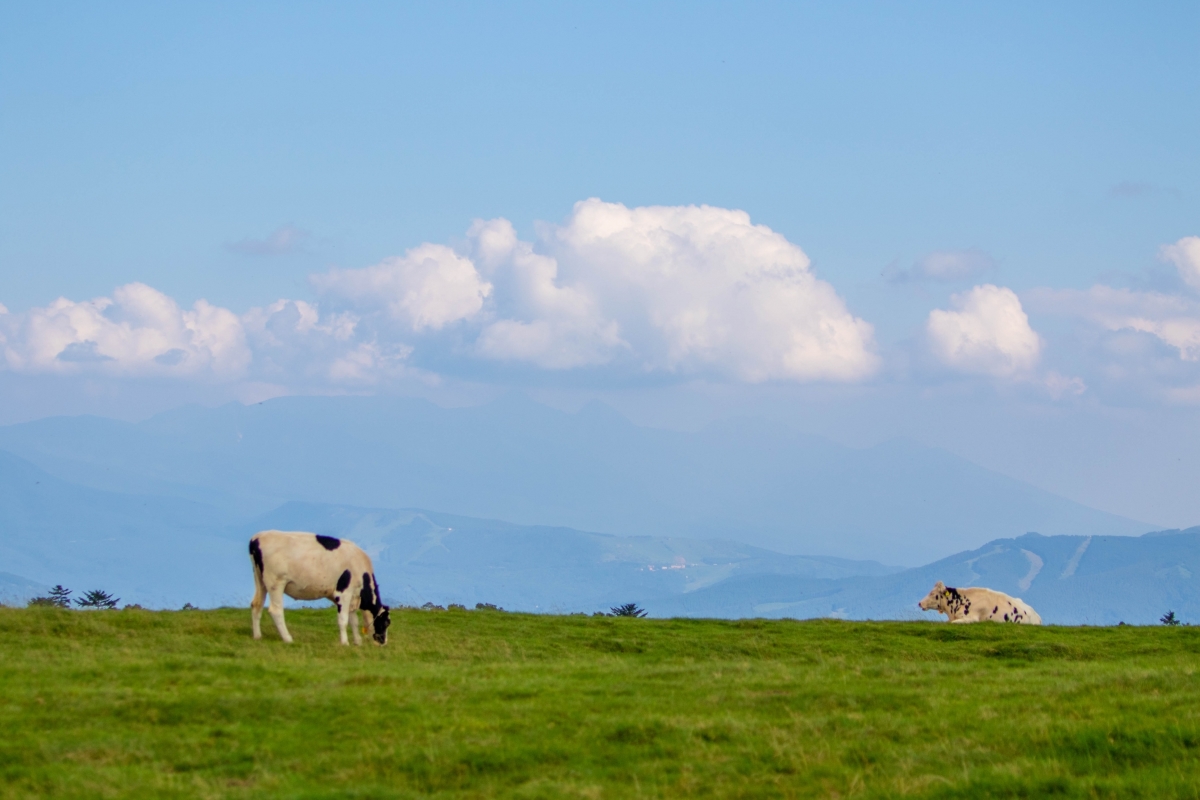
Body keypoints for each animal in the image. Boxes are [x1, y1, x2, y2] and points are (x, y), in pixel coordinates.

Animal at [247, 532, 388, 642]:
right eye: (386, 622)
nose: (384, 642)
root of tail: (257, 538)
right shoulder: (343, 592)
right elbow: (343, 619)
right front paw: (345, 643)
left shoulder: (352, 597)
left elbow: (353, 620)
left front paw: (357, 642)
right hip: (276, 583)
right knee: (275, 610)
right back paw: (288, 638)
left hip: (260, 581)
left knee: (256, 604)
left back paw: (257, 636)